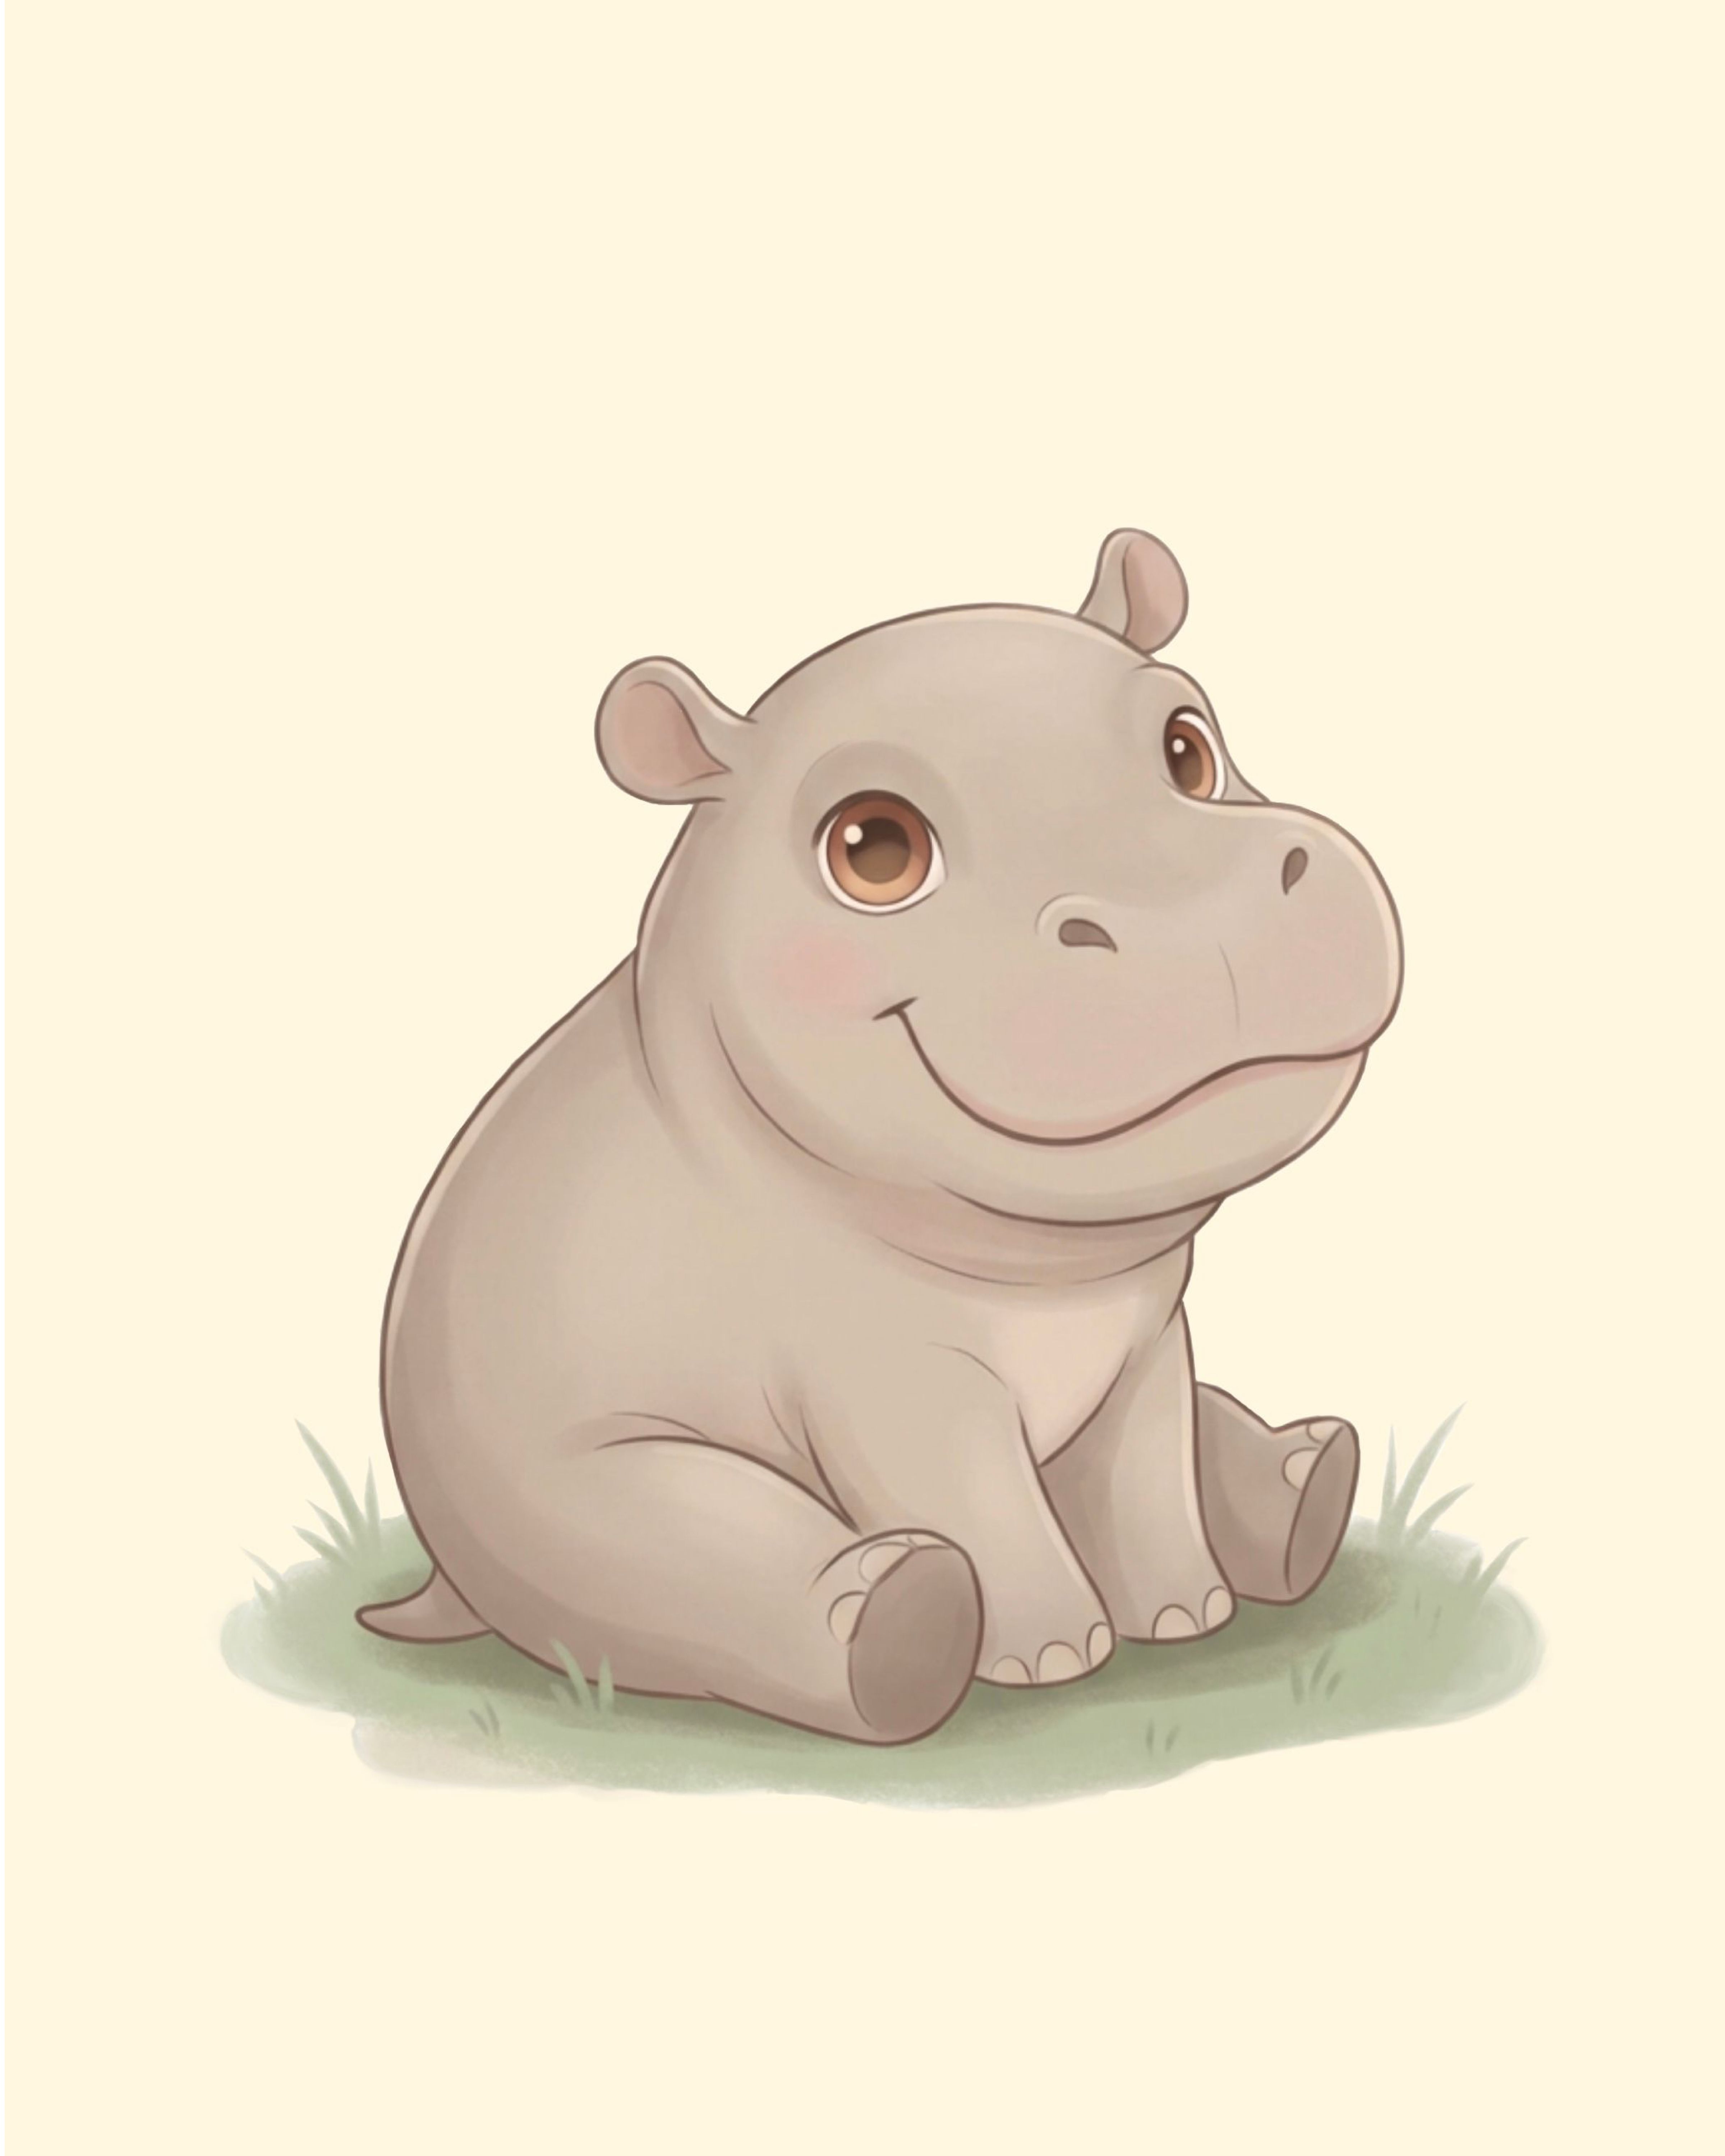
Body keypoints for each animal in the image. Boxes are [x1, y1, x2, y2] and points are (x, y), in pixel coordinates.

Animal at [362, 529, 1403, 1745]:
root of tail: (443, 1578)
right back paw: (899, 1620)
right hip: (580, 1494)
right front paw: (1056, 1658)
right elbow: (983, 1502)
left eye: (1188, 746)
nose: (1200, 916)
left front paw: (1188, 1616)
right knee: (695, 1557)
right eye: (873, 847)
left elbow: (1147, 1480)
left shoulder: (1150, 1339)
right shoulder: (891, 1376)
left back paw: (1312, 1481)